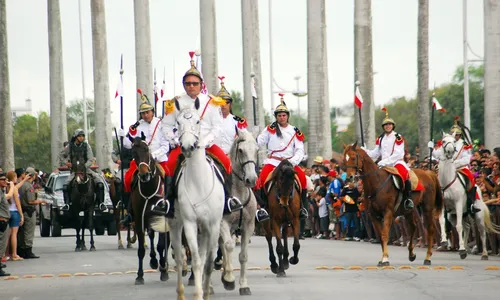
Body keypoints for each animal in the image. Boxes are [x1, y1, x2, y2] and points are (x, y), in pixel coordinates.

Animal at [166, 101, 225, 300]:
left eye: (198, 121)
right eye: (177, 122)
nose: (187, 146)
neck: (199, 183)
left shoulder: (213, 225)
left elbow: (209, 262)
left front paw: (206, 292)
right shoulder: (190, 223)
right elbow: (197, 261)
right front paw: (199, 294)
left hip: (204, 229)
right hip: (176, 225)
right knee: (179, 256)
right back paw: (180, 293)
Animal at [218, 131, 260, 296]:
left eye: (257, 150)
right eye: (241, 150)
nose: (251, 179)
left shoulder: (248, 226)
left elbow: (243, 256)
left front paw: (244, 285)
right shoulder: (222, 223)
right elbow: (229, 246)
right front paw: (229, 279)